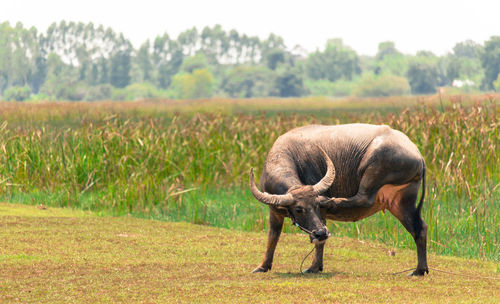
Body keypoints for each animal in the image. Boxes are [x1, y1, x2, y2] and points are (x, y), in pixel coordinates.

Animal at [248, 123, 428, 276]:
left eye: (316, 206)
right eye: (299, 209)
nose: (320, 232)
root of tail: (417, 153)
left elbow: (318, 241)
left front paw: (314, 267)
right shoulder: (275, 212)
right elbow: (273, 236)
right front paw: (263, 266)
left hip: (374, 170)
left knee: (364, 198)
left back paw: (332, 202)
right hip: (401, 201)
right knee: (419, 228)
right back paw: (420, 270)